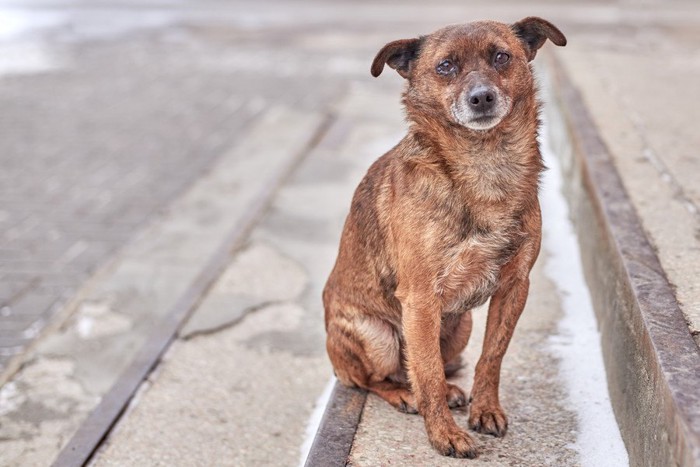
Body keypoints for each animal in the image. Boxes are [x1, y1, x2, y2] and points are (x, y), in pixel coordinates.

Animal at [322, 17, 564, 458]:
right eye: (446, 66)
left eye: (501, 56)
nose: (481, 97)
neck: (484, 164)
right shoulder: (420, 300)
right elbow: (428, 373)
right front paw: (444, 434)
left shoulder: (514, 287)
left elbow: (491, 356)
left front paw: (485, 409)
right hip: (379, 336)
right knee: (374, 379)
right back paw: (404, 394)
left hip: (460, 325)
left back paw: (451, 389)